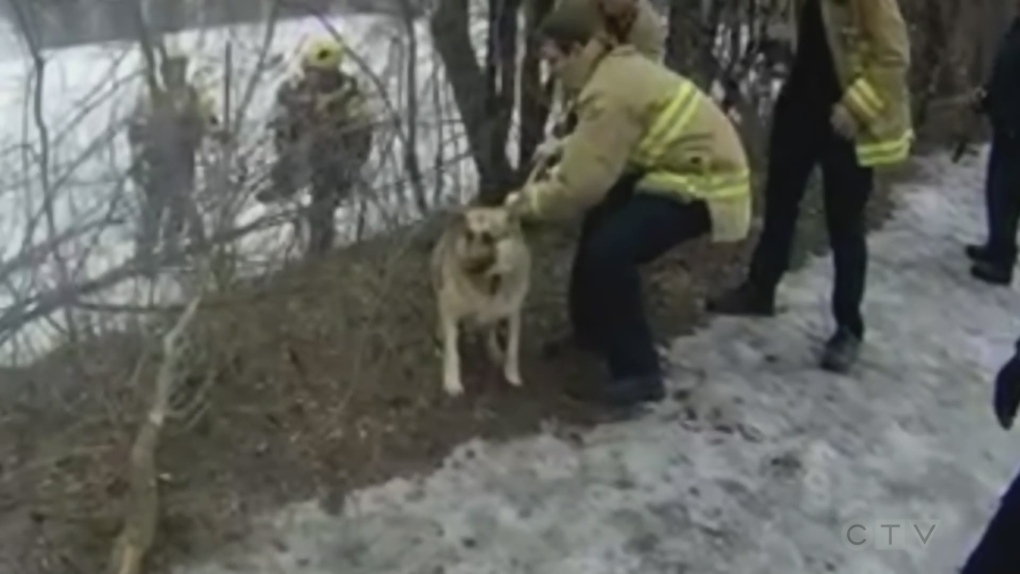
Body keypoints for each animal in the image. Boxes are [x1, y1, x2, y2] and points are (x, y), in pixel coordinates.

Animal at [428, 203, 530, 397]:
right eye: (469, 235)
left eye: (489, 238)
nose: (465, 264)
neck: (490, 281)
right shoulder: (449, 311)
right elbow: (452, 352)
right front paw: (452, 382)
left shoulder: (513, 313)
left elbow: (512, 349)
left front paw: (512, 375)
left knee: (489, 330)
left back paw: (492, 348)